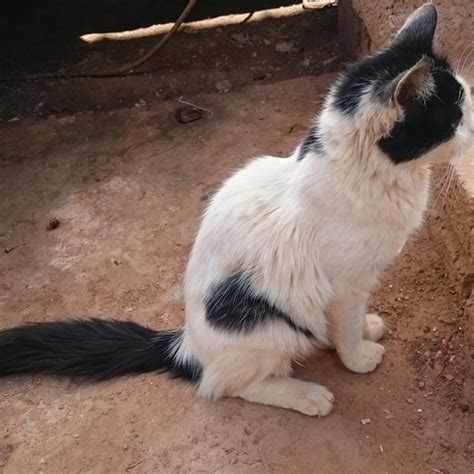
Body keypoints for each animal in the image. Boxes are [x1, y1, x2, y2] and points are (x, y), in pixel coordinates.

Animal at [0, 2, 472, 414]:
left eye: (467, 102)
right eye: (453, 120)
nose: (473, 130)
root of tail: (185, 344)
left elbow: (349, 325)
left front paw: (362, 331)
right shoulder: (346, 285)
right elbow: (347, 327)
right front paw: (357, 357)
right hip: (267, 323)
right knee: (221, 385)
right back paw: (307, 396)